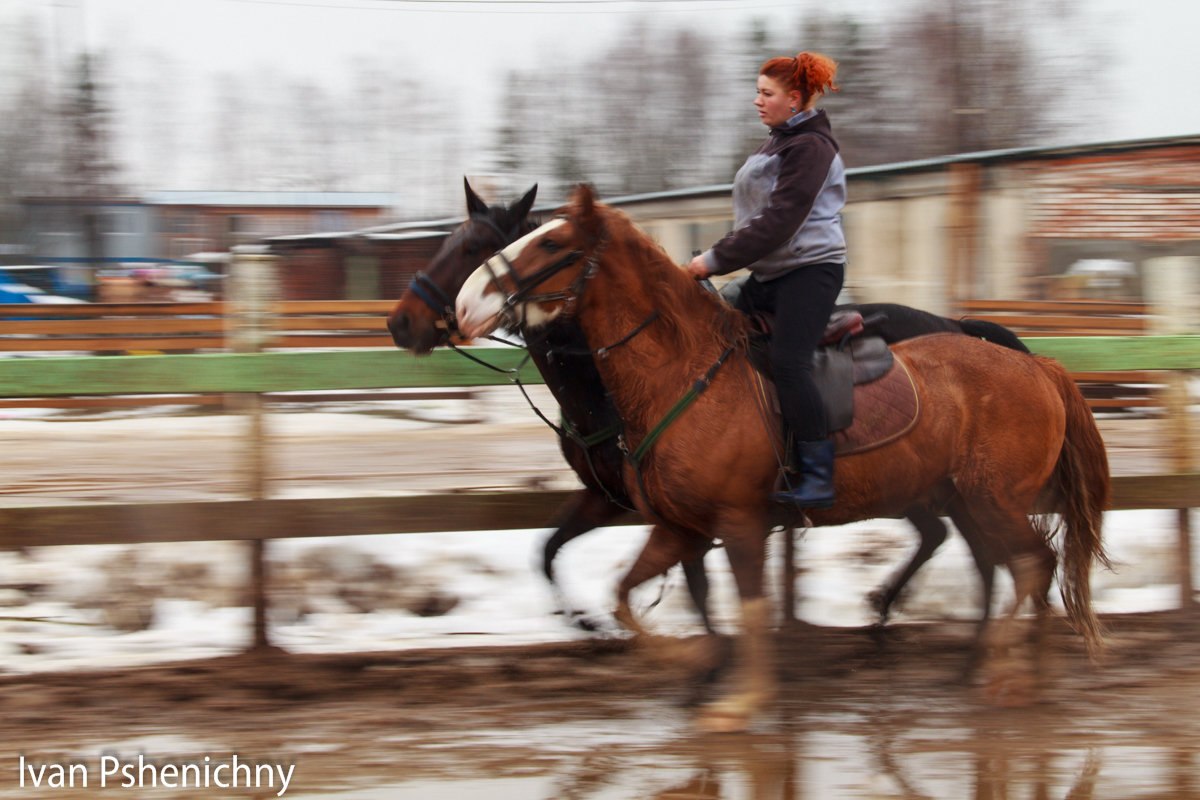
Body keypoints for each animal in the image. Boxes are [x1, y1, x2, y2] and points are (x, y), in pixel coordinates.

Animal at [388, 179, 1027, 638]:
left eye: (479, 247)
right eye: (447, 242)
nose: (401, 323)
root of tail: (956, 323)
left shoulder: (669, 507)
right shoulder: (610, 496)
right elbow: (546, 552)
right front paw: (589, 622)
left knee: (956, 540)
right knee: (941, 536)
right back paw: (890, 606)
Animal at [456, 185, 1104, 734]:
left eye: (551, 244)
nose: (462, 307)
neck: (681, 375)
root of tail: (1039, 367)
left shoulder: (739, 524)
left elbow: (748, 609)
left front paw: (739, 698)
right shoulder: (681, 527)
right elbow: (625, 598)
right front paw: (694, 660)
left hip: (992, 500)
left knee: (1032, 564)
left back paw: (1001, 665)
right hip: (964, 498)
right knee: (1012, 564)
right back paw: (1016, 667)